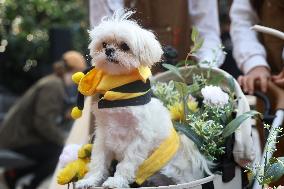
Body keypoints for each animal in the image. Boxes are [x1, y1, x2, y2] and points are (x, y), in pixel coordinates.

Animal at [75, 10, 211, 189]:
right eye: (104, 44)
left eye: (125, 46)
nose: (109, 50)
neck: (117, 90)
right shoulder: (103, 135)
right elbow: (98, 160)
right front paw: (90, 180)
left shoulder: (139, 138)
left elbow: (127, 163)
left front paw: (116, 181)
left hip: (174, 171)